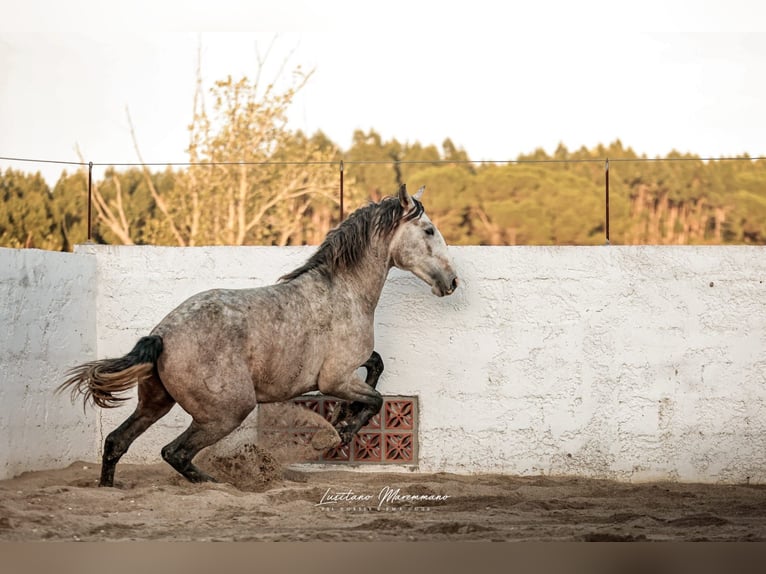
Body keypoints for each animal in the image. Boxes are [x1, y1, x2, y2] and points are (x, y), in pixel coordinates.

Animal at [58, 184, 459, 487]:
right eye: (428, 230)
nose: (452, 281)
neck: (342, 291)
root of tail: (161, 335)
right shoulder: (335, 379)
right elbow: (375, 399)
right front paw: (339, 431)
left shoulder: (350, 369)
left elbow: (377, 367)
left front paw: (341, 418)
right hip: (227, 412)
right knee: (174, 452)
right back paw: (219, 484)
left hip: (155, 403)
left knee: (116, 442)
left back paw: (110, 487)